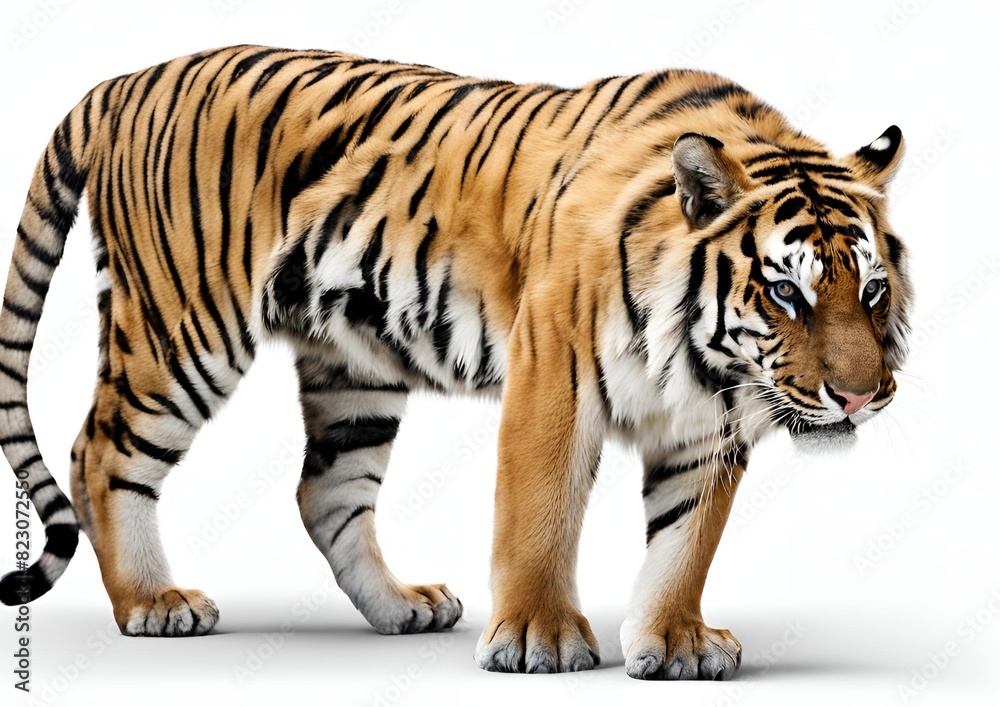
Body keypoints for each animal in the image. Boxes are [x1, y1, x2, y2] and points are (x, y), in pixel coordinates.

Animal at [0, 44, 912, 680]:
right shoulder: (555, 374)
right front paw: (540, 638)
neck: (697, 358)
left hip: (353, 368)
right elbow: (539, 513)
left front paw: (676, 639)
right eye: (787, 293)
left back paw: (400, 605)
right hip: (182, 328)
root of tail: (127, 79)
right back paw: (153, 601)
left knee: (325, 492)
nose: (859, 396)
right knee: (102, 452)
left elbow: (686, 538)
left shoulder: (707, 423)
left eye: (871, 290)